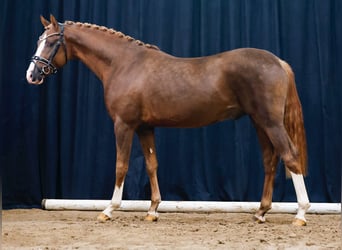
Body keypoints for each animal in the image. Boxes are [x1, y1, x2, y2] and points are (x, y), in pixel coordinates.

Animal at [26, 15, 310, 227]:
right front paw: (152, 210)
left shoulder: (123, 125)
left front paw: (109, 209)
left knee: (290, 156)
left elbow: (121, 166)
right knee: (270, 161)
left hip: (270, 123)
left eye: (51, 42)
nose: (32, 74)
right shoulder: (145, 128)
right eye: (39, 40)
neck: (124, 64)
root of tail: (278, 62)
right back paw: (260, 212)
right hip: (259, 123)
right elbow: (152, 165)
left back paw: (301, 213)